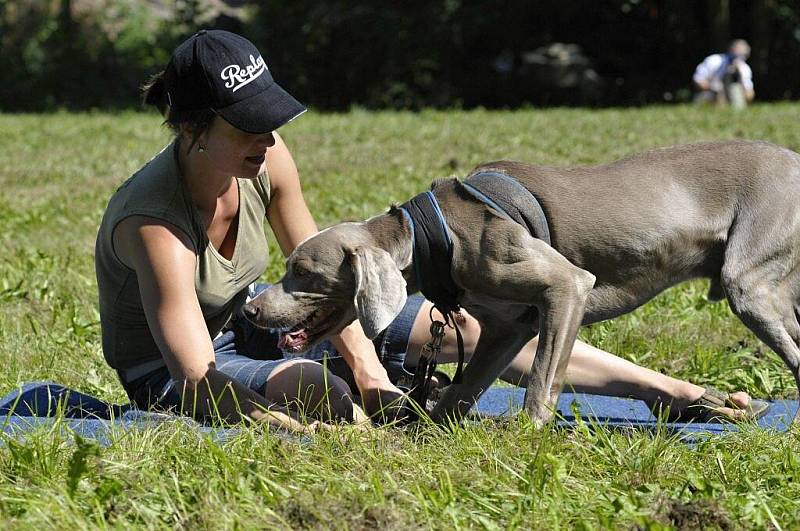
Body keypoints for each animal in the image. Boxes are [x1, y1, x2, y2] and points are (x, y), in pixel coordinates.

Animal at [244, 140, 800, 424]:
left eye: (302, 271)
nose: (250, 310)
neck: (434, 236)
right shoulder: (507, 328)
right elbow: (460, 390)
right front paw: (422, 432)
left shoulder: (567, 288)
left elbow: (541, 381)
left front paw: (528, 438)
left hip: (749, 285)